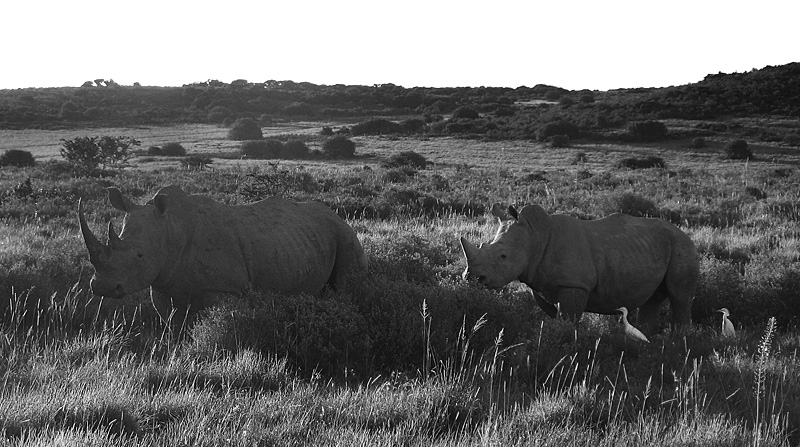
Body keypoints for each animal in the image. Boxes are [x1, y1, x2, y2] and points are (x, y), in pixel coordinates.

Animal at [79, 185, 367, 325]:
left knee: (347, 287)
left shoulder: (224, 290)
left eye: (139, 256)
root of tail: (337, 215)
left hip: (345, 235)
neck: (170, 229)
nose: (102, 287)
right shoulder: (162, 284)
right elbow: (174, 327)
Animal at [460, 204, 698, 333]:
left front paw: (566, 340)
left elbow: (568, 317)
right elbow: (555, 313)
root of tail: (684, 233)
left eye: (503, 256)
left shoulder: (574, 285)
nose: (472, 277)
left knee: (680, 295)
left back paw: (680, 340)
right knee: (653, 299)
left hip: (682, 245)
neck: (534, 236)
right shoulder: (541, 282)